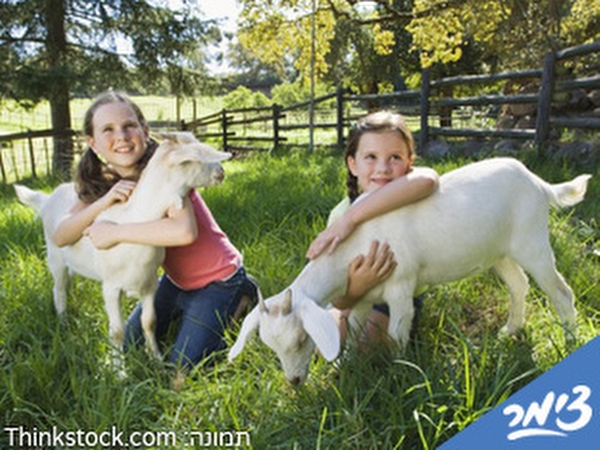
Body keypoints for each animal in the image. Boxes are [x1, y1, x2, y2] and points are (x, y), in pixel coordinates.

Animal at [15, 132, 232, 368]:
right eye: (193, 159)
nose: (221, 172)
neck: (134, 219)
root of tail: (46, 199)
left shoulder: (149, 284)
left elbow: (149, 322)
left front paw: (155, 359)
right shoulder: (111, 287)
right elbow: (118, 332)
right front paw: (119, 371)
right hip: (54, 256)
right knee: (59, 289)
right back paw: (64, 324)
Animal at [229, 157, 592, 384]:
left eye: (303, 339)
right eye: (270, 346)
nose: (293, 381)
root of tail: (538, 182)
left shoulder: (400, 285)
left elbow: (396, 332)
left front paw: (401, 372)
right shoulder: (363, 295)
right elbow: (352, 331)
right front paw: (346, 369)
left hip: (532, 241)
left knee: (562, 293)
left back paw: (569, 341)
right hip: (499, 250)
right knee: (519, 285)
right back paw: (510, 331)